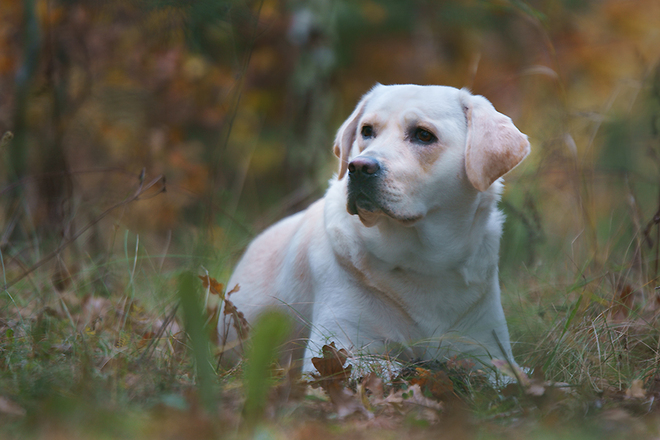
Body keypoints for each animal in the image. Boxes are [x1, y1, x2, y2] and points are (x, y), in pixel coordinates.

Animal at [222, 84, 532, 370]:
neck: (424, 263)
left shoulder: (490, 353)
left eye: (423, 135)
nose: (358, 167)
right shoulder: (338, 348)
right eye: (367, 131)